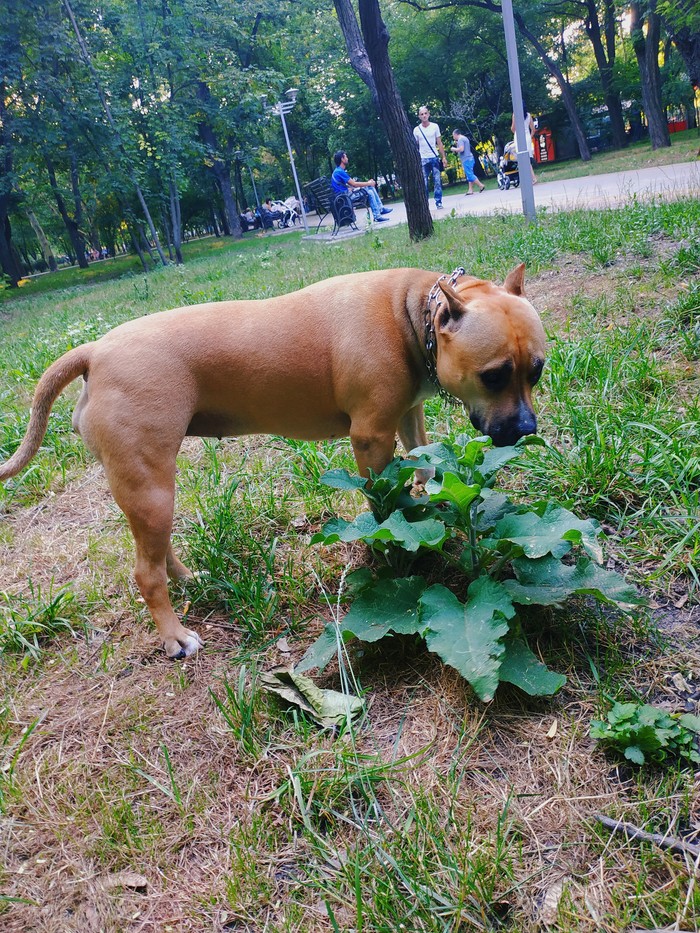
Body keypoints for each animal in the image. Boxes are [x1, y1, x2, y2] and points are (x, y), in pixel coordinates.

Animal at [0, 262, 548, 656]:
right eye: (494, 375)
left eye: (537, 371)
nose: (526, 431)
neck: (411, 313)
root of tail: (95, 350)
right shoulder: (371, 437)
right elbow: (381, 506)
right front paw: (390, 546)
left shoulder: (409, 416)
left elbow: (425, 464)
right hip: (150, 485)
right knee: (144, 572)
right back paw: (174, 636)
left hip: (149, 492)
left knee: (154, 550)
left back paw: (188, 579)